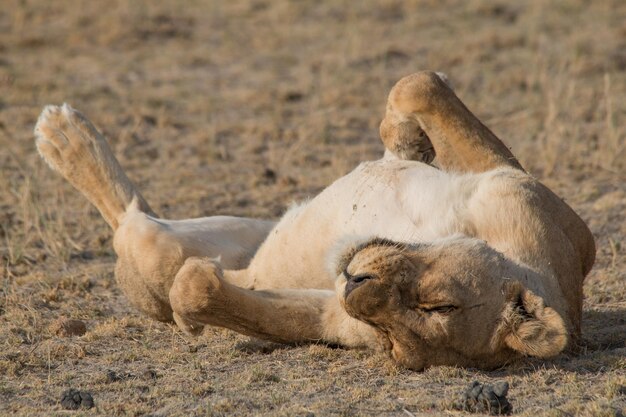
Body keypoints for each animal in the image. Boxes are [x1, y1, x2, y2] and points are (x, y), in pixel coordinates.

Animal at [35, 72, 596, 370]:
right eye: (442, 303)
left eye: (394, 339)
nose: (354, 285)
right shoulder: (521, 194)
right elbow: (419, 86)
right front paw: (404, 138)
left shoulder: (330, 318)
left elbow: (204, 292)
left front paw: (197, 301)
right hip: (244, 226)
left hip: (158, 248)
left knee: (133, 224)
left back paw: (64, 137)